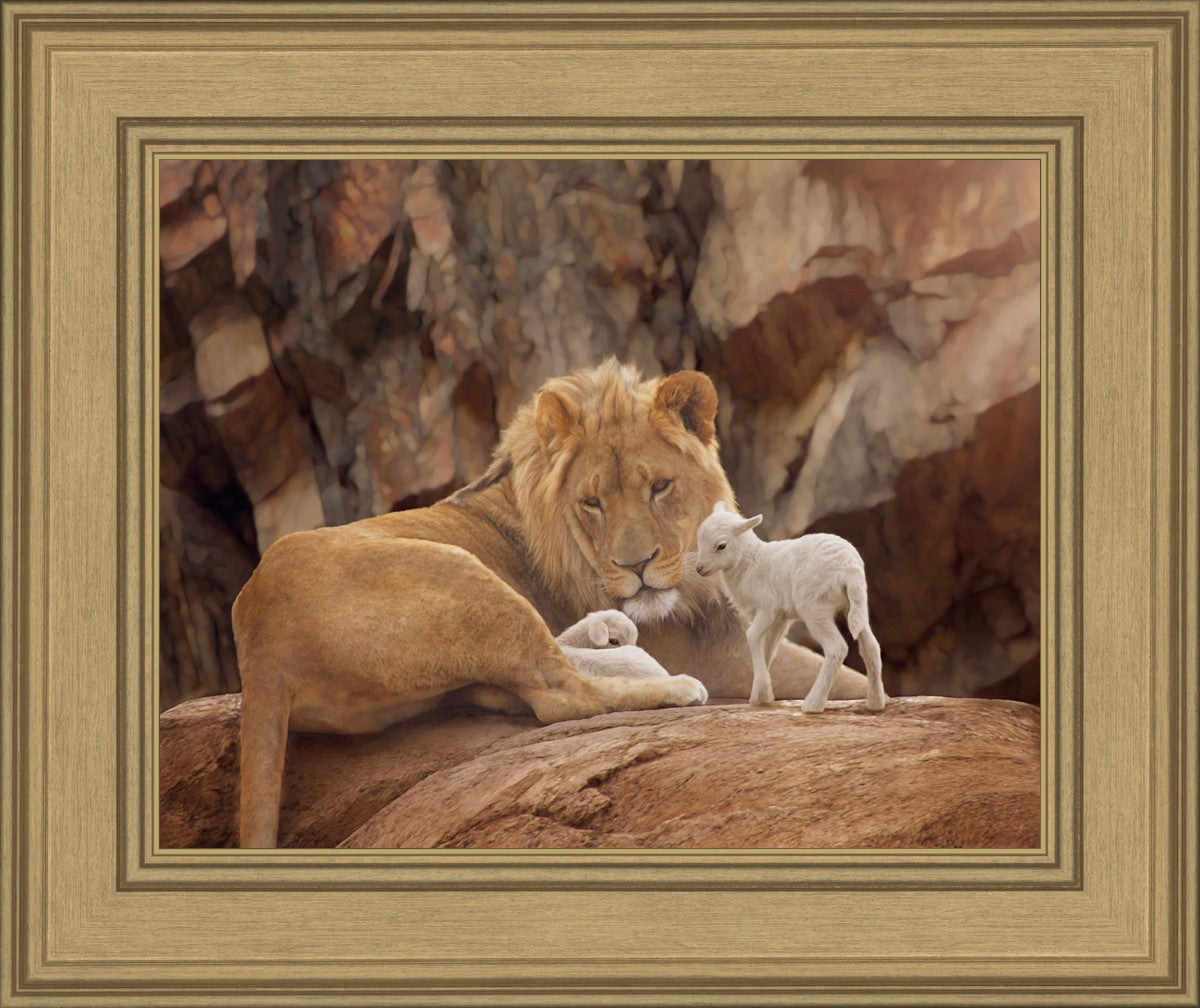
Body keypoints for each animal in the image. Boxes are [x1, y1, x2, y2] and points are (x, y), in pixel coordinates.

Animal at [694, 502, 886, 713]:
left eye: (721, 546)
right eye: (699, 538)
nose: (699, 568)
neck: (750, 561)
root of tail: (850, 568)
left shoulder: (768, 608)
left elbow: (752, 636)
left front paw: (762, 690)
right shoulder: (781, 618)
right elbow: (768, 648)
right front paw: (761, 695)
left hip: (814, 607)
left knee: (836, 648)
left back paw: (813, 704)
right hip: (856, 605)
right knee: (871, 647)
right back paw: (876, 703)